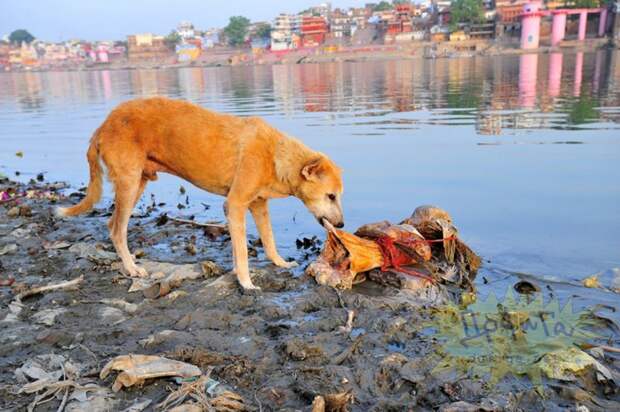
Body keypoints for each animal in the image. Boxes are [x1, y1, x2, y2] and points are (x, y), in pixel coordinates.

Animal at [57, 97, 344, 290]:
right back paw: (131, 268)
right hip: (128, 184)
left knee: (110, 224)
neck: (275, 154)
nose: (341, 224)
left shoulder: (258, 205)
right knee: (118, 229)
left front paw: (279, 263)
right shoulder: (235, 204)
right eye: (331, 196)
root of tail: (103, 126)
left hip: (138, 183)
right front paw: (245, 282)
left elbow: (268, 240)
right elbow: (242, 250)